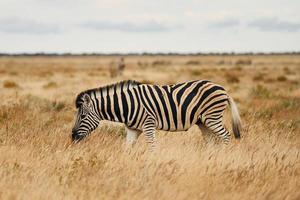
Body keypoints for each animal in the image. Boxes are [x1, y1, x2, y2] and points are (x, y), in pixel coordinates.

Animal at [72, 80, 241, 148]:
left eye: (83, 116)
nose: (72, 137)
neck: (127, 105)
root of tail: (223, 89)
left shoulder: (148, 124)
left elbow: (152, 146)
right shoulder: (133, 129)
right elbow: (126, 148)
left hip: (212, 117)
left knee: (226, 136)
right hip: (203, 121)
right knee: (211, 141)